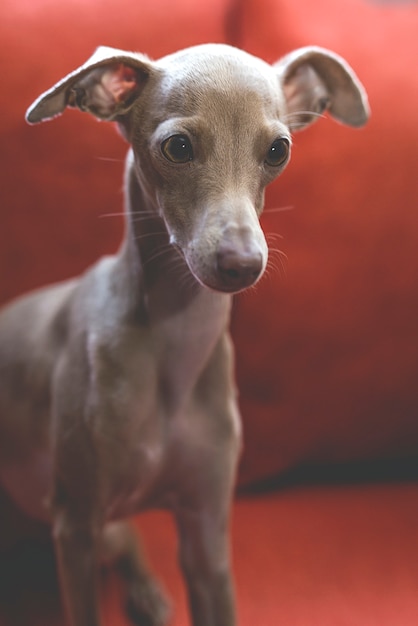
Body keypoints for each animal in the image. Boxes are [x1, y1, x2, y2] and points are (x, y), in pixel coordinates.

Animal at [0, 44, 370, 624]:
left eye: (278, 149)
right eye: (177, 146)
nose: (242, 264)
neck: (173, 343)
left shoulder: (207, 534)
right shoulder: (76, 525)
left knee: (128, 544)